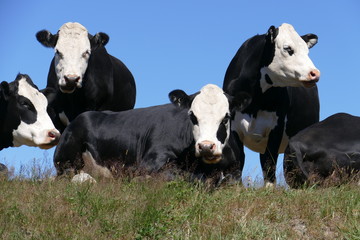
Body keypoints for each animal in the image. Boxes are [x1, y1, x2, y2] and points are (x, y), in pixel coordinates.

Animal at [53, 84, 250, 184]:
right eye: (192, 116)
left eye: (226, 117)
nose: (206, 146)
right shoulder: (148, 163)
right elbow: (181, 176)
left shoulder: (235, 172)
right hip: (67, 156)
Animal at [222, 23, 320, 187]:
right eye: (288, 48)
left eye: (307, 51)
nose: (315, 73)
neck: (255, 101)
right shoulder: (233, 127)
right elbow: (239, 161)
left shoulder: (276, 128)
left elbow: (269, 162)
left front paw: (269, 188)